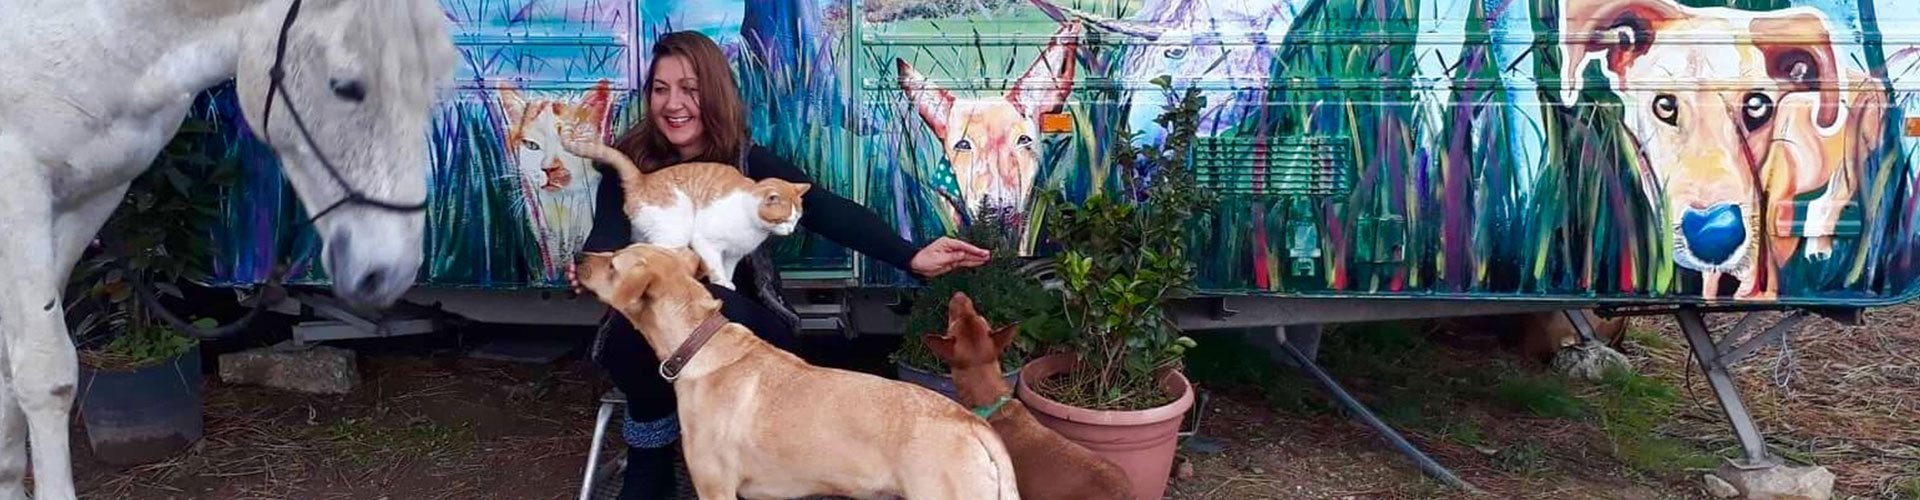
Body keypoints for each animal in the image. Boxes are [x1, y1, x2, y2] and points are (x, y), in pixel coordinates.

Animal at [558, 126, 810, 291]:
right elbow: (716, 266)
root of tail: (642, 179)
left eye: (797, 219)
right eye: (784, 219)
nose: (791, 230)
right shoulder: (706, 242)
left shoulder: (732, 255)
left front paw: (727, 282)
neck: (751, 223)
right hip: (675, 231)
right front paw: (721, 283)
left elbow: (727, 268)